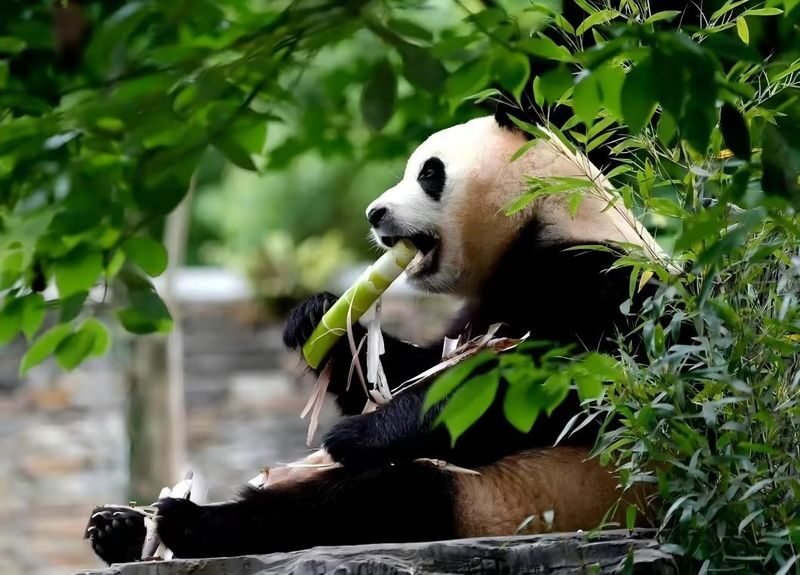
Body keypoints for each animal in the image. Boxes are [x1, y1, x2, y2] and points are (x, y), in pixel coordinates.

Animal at [84, 102, 672, 564]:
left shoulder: (599, 279)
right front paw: (318, 320)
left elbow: (554, 389)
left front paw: (357, 435)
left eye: (430, 174)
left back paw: (187, 525)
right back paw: (123, 528)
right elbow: (413, 368)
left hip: (524, 499)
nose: (375, 213)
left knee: (379, 498)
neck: (546, 212)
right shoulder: (485, 303)